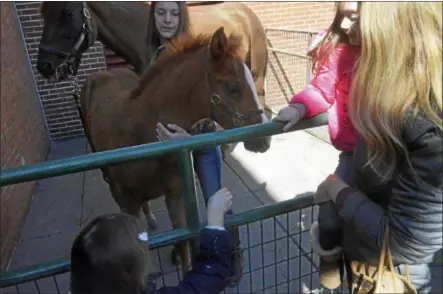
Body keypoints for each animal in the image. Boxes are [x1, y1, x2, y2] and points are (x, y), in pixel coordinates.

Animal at [80, 26, 270, 274]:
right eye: (233, 88)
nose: (265, 140)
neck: (142, 135)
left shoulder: (176, 196)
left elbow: (183, 241)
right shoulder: (129, 202)